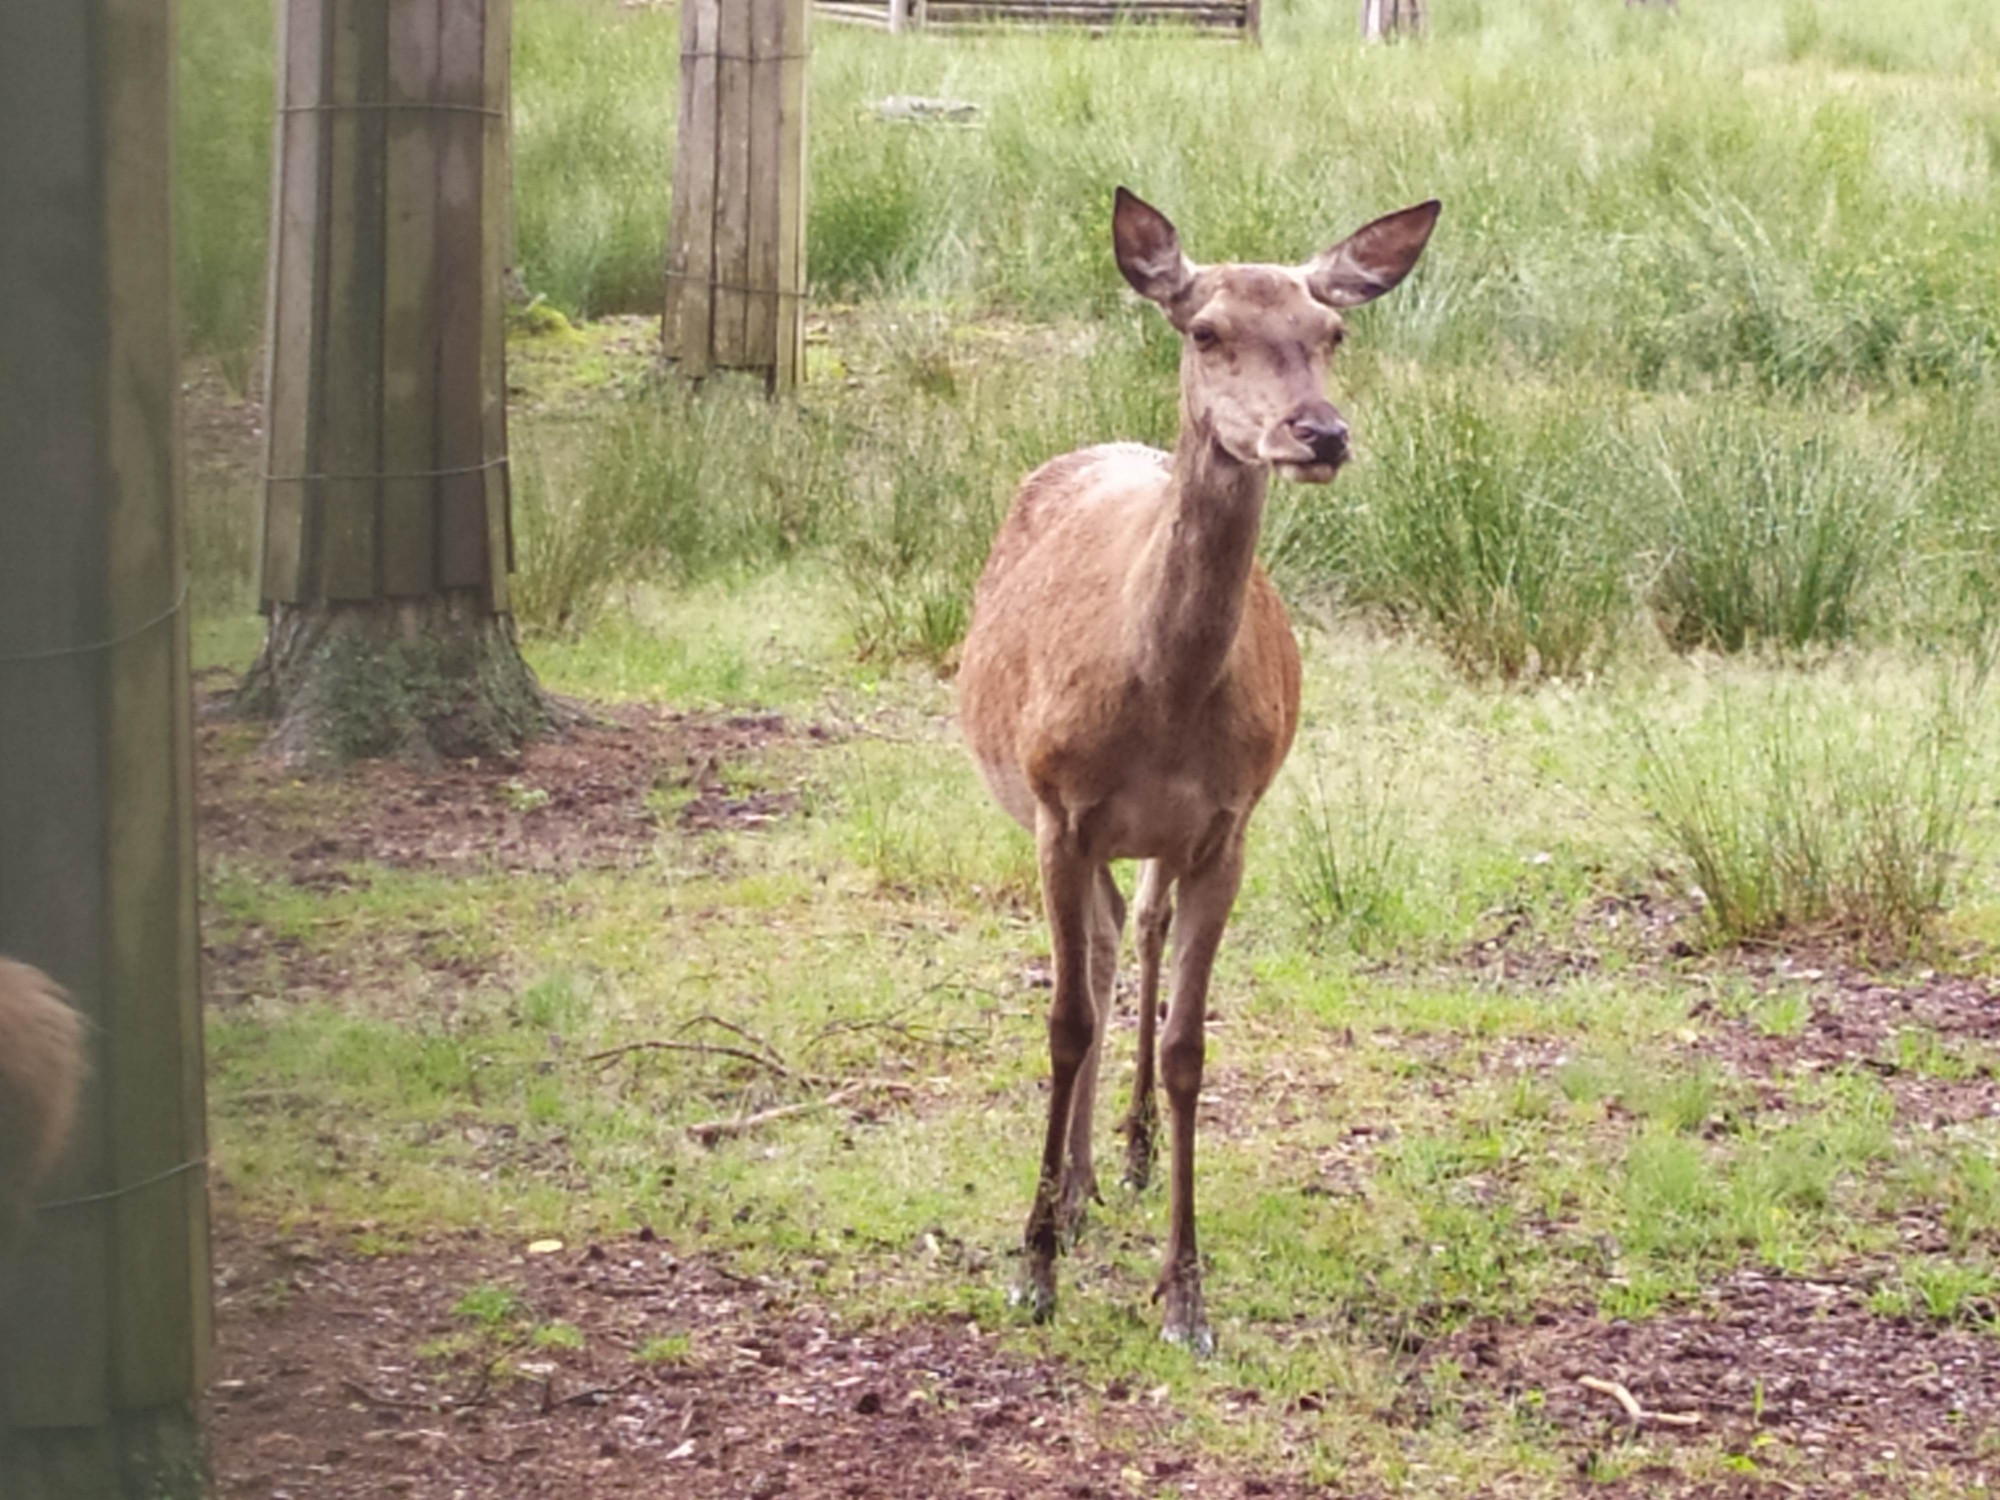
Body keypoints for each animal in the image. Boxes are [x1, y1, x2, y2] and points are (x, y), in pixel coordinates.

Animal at [956, 185, 1440, 1352]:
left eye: (1330, 333)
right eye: (1206, 330)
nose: (1319, 432)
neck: (1160, 704)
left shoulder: (1227, 826)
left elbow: (1188, 1048)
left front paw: (1184, 1297)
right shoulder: (1058, 807)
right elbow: (1063, 1022)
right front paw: (1034, 1267)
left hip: (1159, 844)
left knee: (1133, 929)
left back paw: (1116, 1166)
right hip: (1057, 817)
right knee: (1091, 958)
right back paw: (1075, 1191)